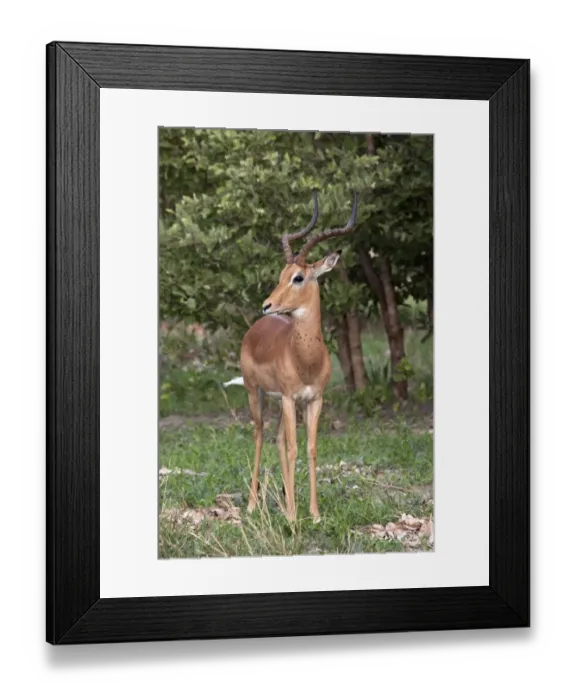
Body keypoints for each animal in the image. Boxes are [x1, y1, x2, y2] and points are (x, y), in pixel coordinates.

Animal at [224, 191, 358, 523]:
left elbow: (309, 449)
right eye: (281, 274)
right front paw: (295, 517)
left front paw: (313, 513)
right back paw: (253, 505)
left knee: (278, 440)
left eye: (298, 277)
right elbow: (295, 449)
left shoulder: (313, 400)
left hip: (282, 403)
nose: (267, 304)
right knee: (260, 434)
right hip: (255, 392)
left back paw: (285, 503)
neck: (306, 359)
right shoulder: (288, 397)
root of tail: (255, 328)